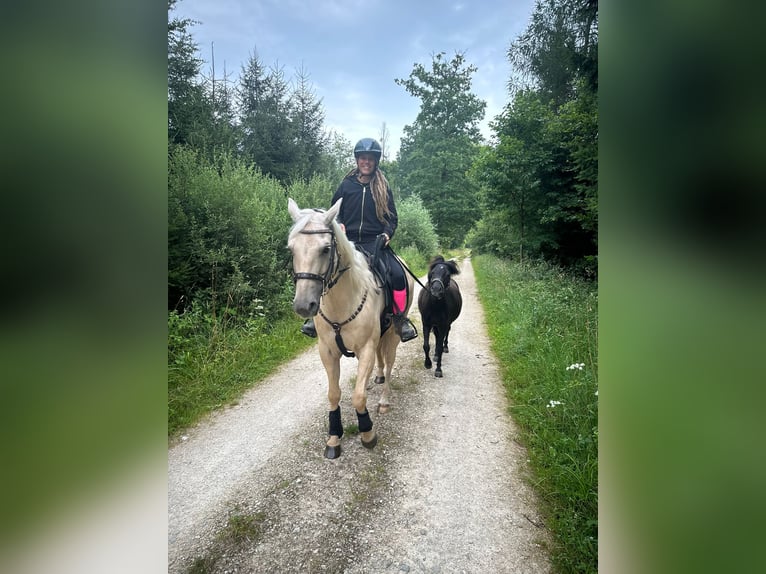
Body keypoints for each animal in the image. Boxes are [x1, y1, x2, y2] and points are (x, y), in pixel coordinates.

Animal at [287, 198, 414, 459]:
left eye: (325, 249)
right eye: (291, 249)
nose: (304, 305)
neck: (343, 301)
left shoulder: (365, 349)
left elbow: (358, 397)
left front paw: (367, 433)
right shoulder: (327, 352)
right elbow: (334, 394)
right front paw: (334, 438)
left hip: (393, 335)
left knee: (389, 365)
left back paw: (383, 400)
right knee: (381, 363)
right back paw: (375, 377)